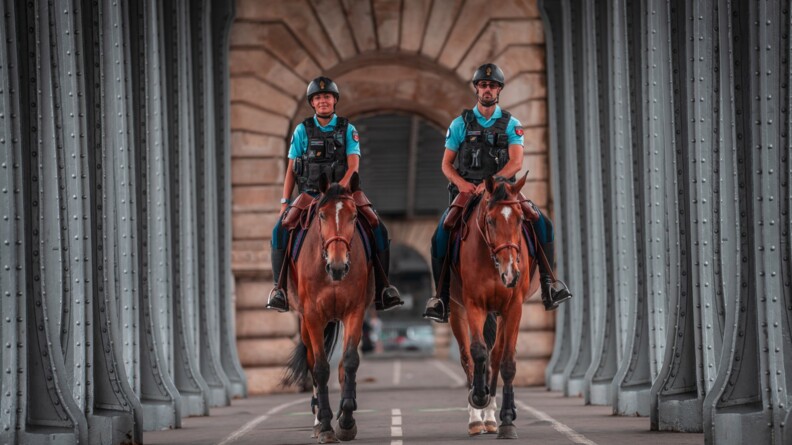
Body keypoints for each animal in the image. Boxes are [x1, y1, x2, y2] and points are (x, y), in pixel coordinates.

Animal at [284, 172, 372, 442]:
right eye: (322, 215)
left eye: (354, 216)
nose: (338, 266)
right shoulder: (313, 316)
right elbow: (321, 368)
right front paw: (324, 425)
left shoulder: (354, 312)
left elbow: (350, 361)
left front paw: (346, 420)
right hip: (305, 322)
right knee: (312, 362)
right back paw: (317, 419)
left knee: (342, 364)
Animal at [448, 173, 540, 438]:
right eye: (490, 220)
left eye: (520, 219)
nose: (511, 273)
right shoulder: (474, 304)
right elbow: (477, 351)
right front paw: (479, 396)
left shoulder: (514, 308)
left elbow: (506, 361)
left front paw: (507, 419)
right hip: (457, 310)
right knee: (468, 357)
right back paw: (476, 418)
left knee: (496, 356)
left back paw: (491, 416)